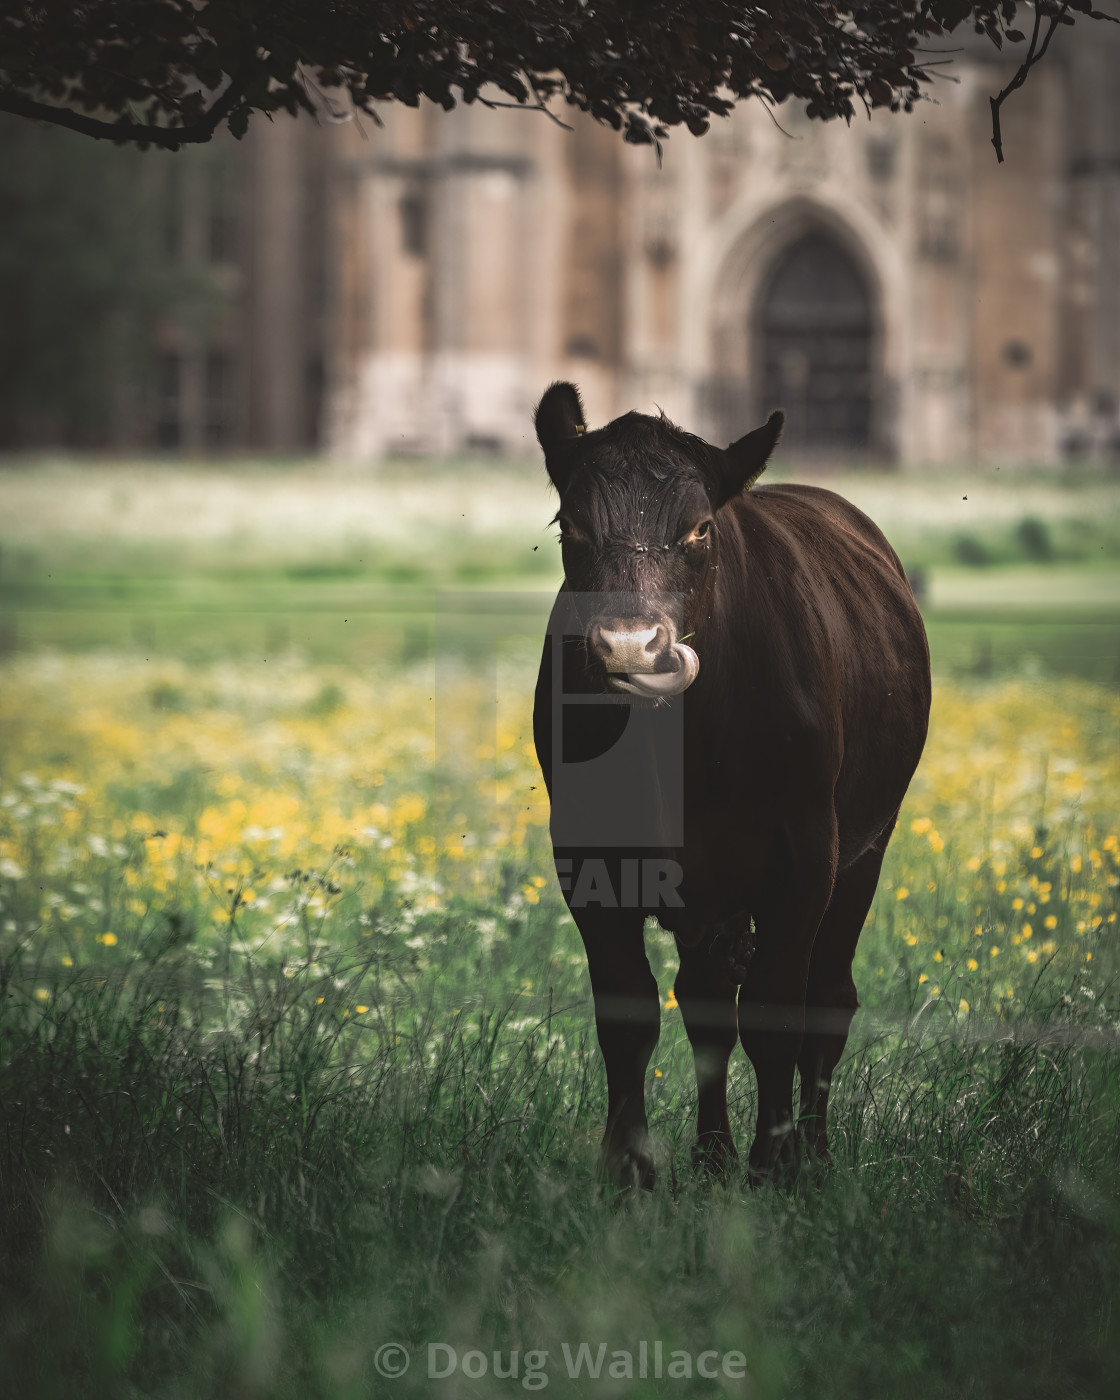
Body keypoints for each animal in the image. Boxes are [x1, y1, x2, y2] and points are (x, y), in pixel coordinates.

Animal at [529, 386, 929, 1192]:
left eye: (700, 528)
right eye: (571, 524)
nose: (630, 647)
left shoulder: (805, 856)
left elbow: (778, 1011)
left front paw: (774, 1168)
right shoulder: (587, 860)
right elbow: (630, 1012)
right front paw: (630, 1171)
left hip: (865, 851)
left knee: (827, 999)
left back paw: (811, 1154)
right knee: (707, 1000)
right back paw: (712, 1158)